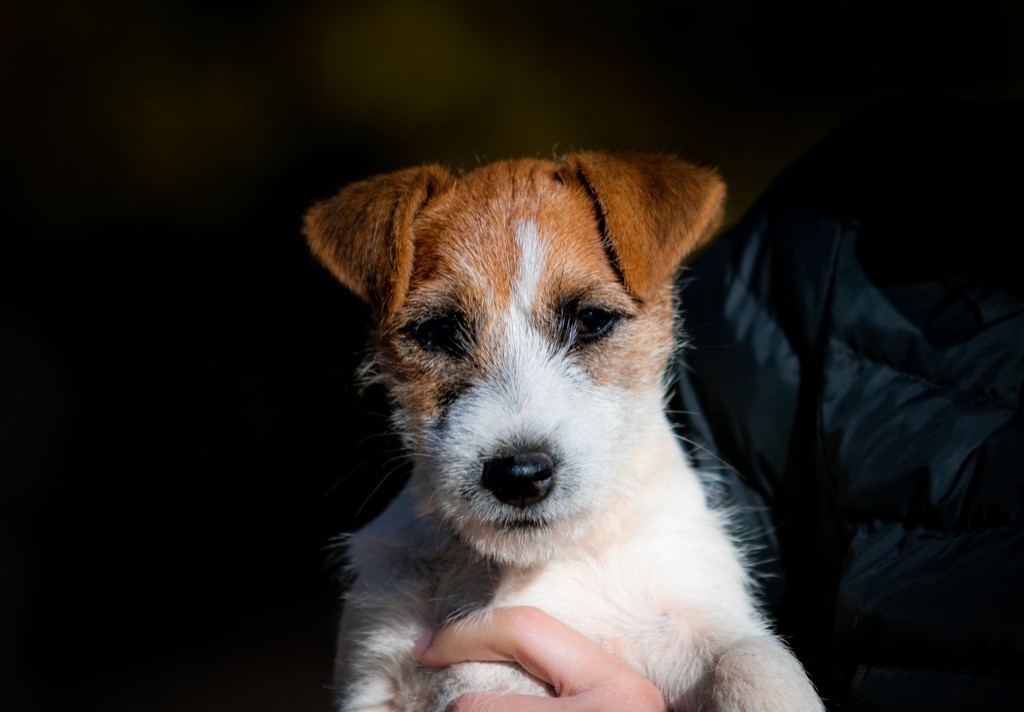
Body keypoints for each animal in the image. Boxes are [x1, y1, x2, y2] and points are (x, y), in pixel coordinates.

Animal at [303, 153, 823, 708]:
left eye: (591, 319)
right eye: (438, 332)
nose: (519, 474)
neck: (537, 565)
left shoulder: (689, 609)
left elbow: (753, 660)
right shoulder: (372, 667)